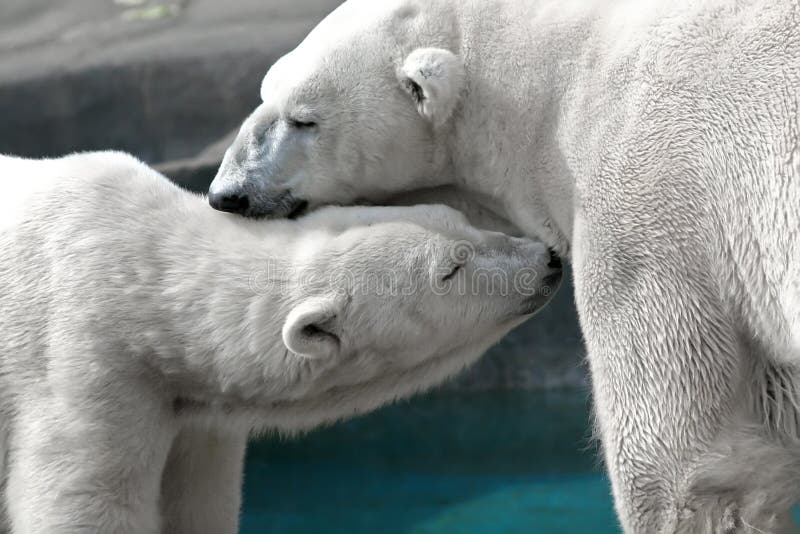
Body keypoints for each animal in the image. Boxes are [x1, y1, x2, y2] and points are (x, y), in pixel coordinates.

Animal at [209, 0, 800, 532]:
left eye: (303, 119)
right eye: (264, 95)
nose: (227, 194)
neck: (555, 88)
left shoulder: (649, 210)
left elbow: (685, 465)